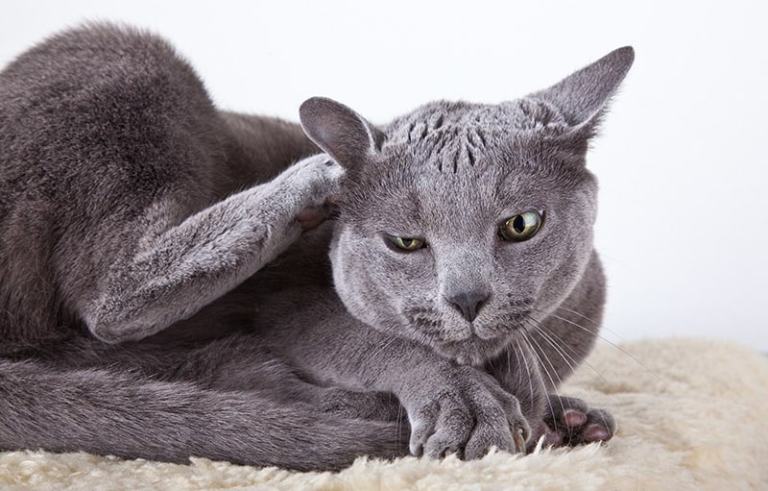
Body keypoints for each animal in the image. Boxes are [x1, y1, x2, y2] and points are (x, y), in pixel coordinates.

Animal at [0, 23, 632, 472]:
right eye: (405, 242)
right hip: (125, 53)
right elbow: (372, 339)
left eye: (521, 224)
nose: (467, 297)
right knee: (110, 300)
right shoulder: (288, 302)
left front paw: (559, 412)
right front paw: (470, 405)